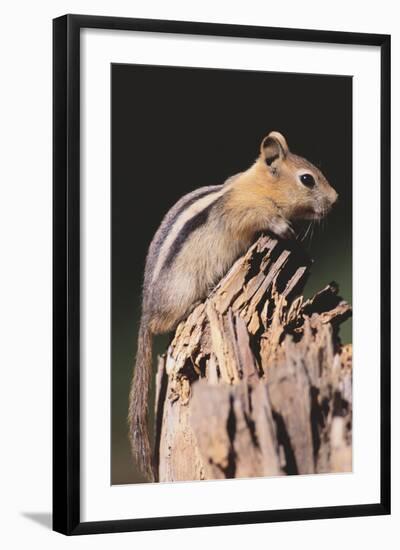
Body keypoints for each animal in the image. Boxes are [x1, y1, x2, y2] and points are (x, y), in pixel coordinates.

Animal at [128, 132, 338, 480]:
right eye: (307, 179)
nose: (335, 199)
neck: (257, 186)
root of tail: (145, 314)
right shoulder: (245, 212)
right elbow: (263, 220)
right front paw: (284, 228)